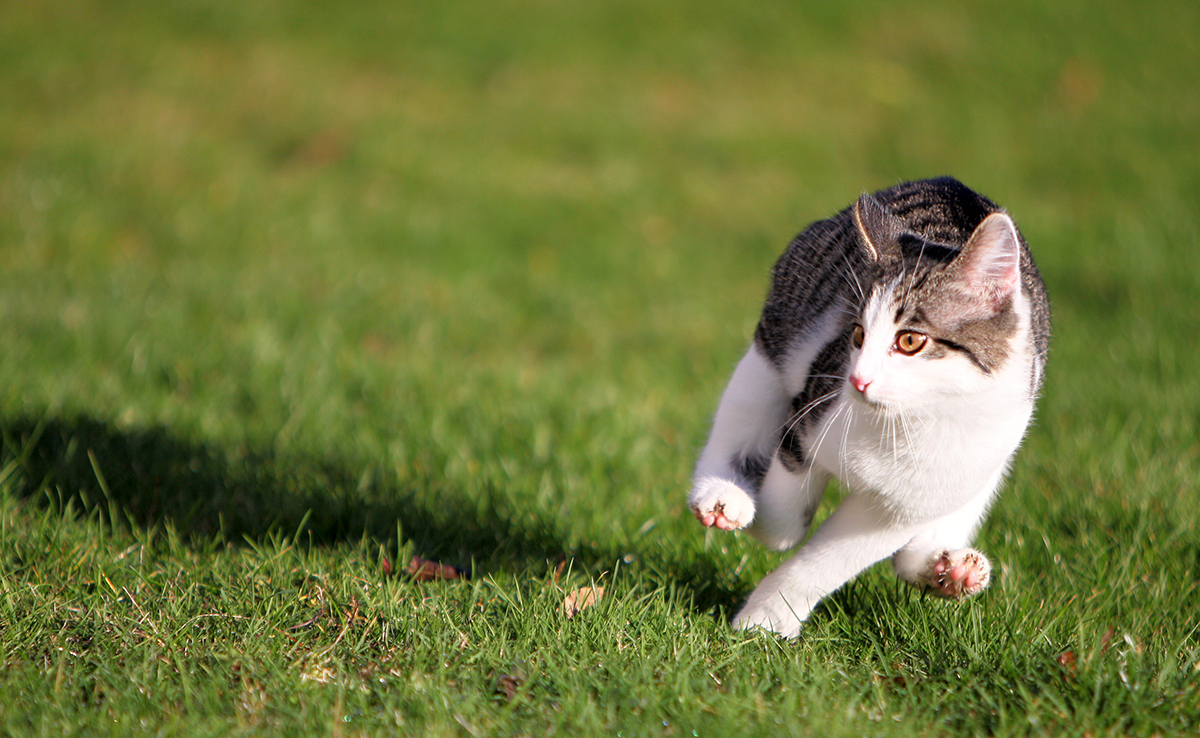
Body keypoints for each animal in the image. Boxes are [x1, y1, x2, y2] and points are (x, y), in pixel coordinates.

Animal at [691, 176, 1046, 638]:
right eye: (857, 335)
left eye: (910, 341)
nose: (857, 380)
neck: (902, 420)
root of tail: (950, 184)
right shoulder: (809, 413)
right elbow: (784, 525)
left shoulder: (908, 504)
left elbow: (831, 561)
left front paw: (767, 618)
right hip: (776, 338)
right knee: (743, 411)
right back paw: (720, 493)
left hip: (992, 459)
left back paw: (949, 570)